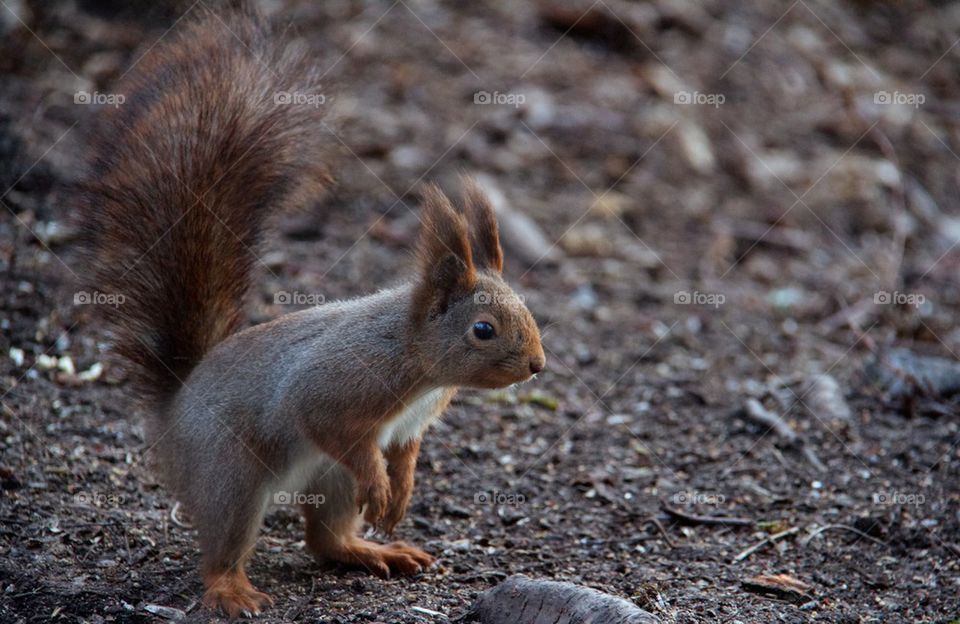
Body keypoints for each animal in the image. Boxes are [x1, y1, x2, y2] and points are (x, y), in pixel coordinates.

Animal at [79, 4, 544, 620]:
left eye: (527, 310)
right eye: (483, 330)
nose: (537, 366)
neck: (414, 358)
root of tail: (173, 411)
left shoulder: (408, 425)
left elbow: (404, 452)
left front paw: (400, 494)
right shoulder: (340, 382)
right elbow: (327, 420)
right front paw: (382, 487)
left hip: (328, 480)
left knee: (323, 539)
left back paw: (372, 551)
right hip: (230, 473)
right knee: (225, 543)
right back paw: (232, 590)